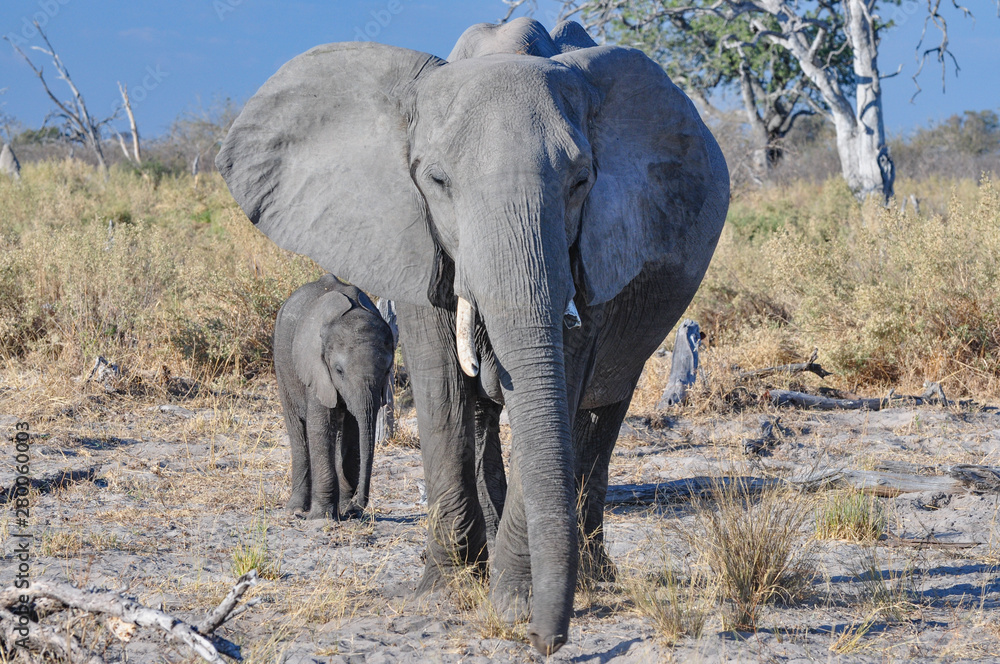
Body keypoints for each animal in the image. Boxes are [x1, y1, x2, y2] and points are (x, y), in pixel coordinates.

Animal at [273, 274, 395, 520]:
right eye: (338, 370)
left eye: (387, 370)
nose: (358, 507)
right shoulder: (316, 368)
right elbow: (321, 428)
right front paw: (322, 518)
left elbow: (354, 430)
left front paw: (346, 510)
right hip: (282, 363)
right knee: (297, 429)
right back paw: (296, 510)